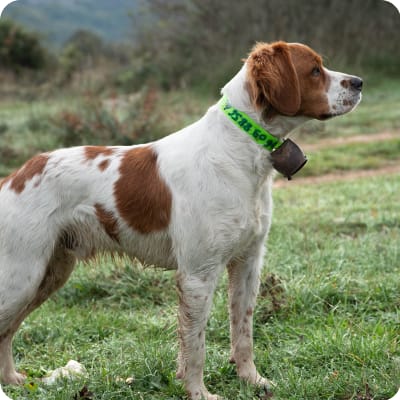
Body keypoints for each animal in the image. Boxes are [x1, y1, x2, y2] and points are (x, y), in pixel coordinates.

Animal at [0, 42, 362, 398]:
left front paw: (252, 380)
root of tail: (13, 177)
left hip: (50, 273)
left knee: (6, 331)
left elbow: (242, 331)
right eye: (314, 70)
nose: (359, 82)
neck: (238, 150)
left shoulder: (247, 263)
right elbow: (195, 345)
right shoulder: (197, 274)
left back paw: (13, 380)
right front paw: (198, 392)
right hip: (23, 276)